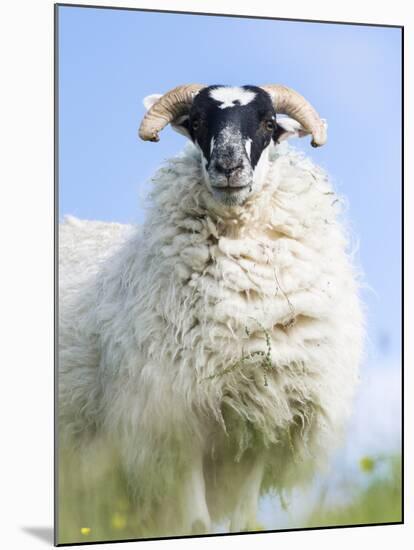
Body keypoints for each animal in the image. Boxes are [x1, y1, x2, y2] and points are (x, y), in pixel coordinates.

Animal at [59, 85, 364, 540]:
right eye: (198, 122)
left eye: (268, 123)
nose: (229, 166)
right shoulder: (175, 423)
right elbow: (198, 523)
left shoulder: (263, 423)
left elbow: (244, 520)